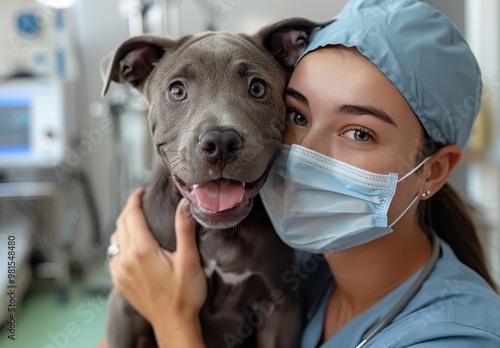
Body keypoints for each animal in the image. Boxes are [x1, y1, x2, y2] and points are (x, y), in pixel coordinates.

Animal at [101, 18, 324, 348]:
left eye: (257, 88)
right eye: (177, 90)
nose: (220, 142)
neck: (220, 235)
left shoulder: (280, 306)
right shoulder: (124, 308)